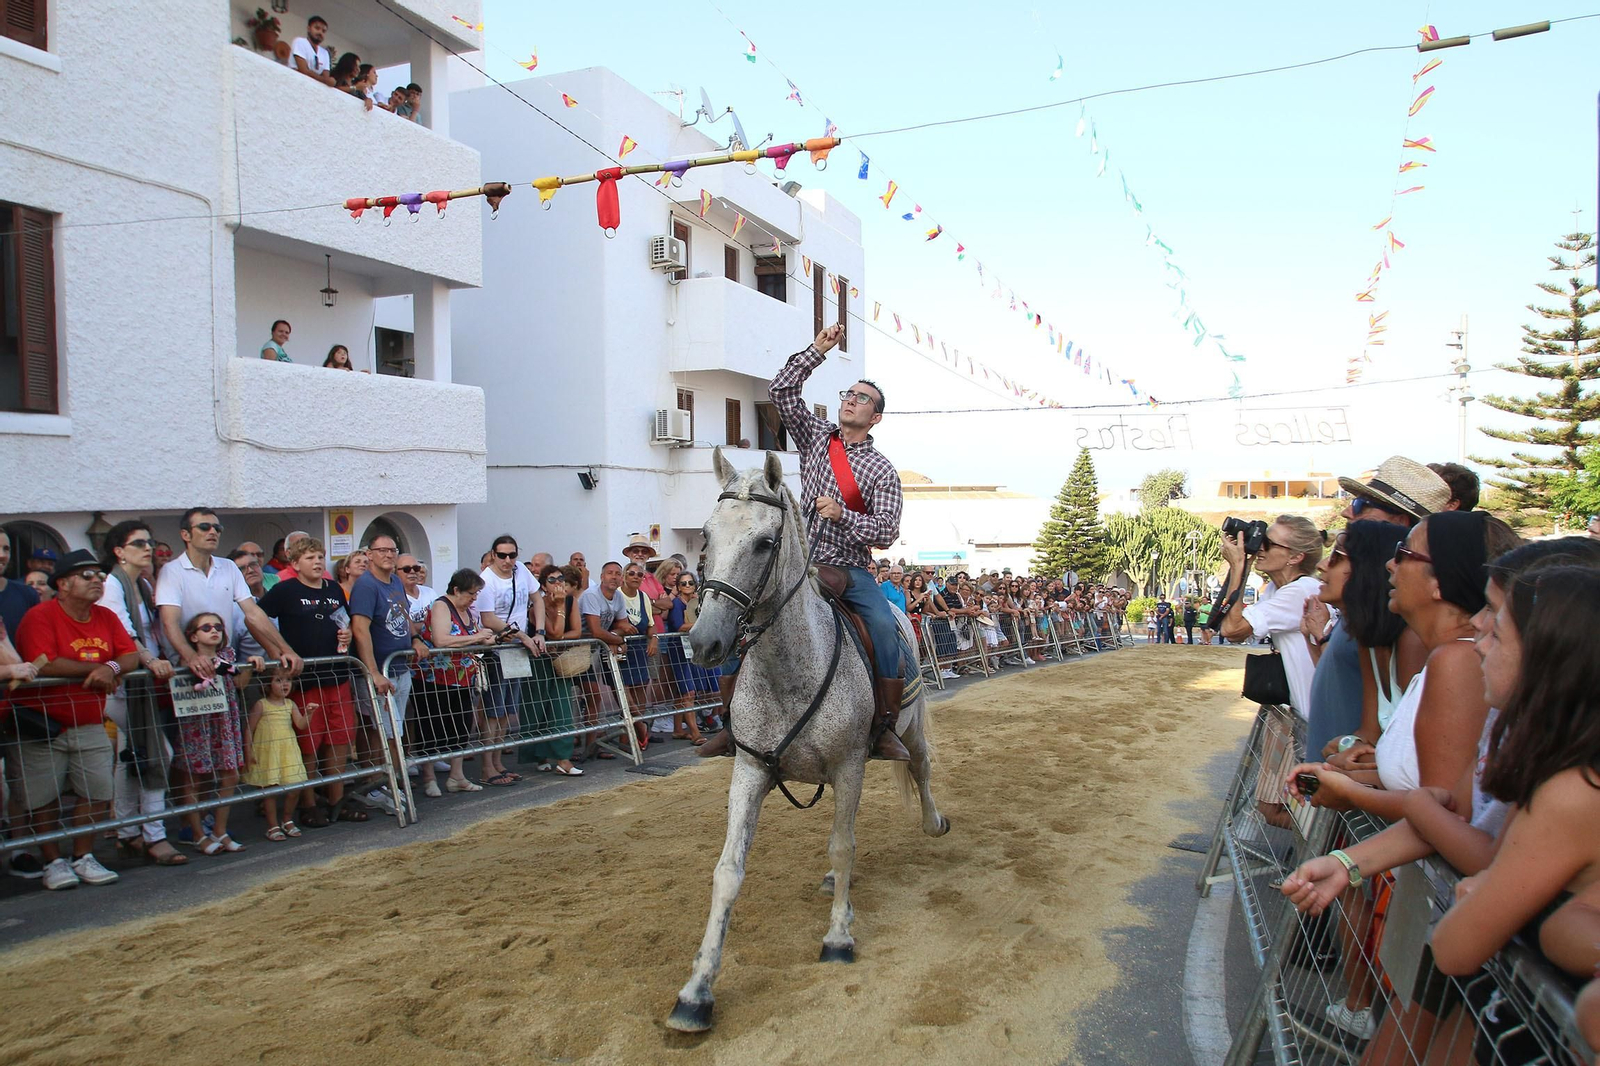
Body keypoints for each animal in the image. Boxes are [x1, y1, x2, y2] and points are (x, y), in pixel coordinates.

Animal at [665, 447, 951, 1034]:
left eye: (764, 542)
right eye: (705, 535)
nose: (704, 642)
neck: (790, 670)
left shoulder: (849, 766)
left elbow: (843, 845)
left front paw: (838, 936)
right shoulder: (750, 771)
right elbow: (728, 871)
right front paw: (697, 990)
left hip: (908, 730)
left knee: (921, 769)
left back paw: (933, 822)